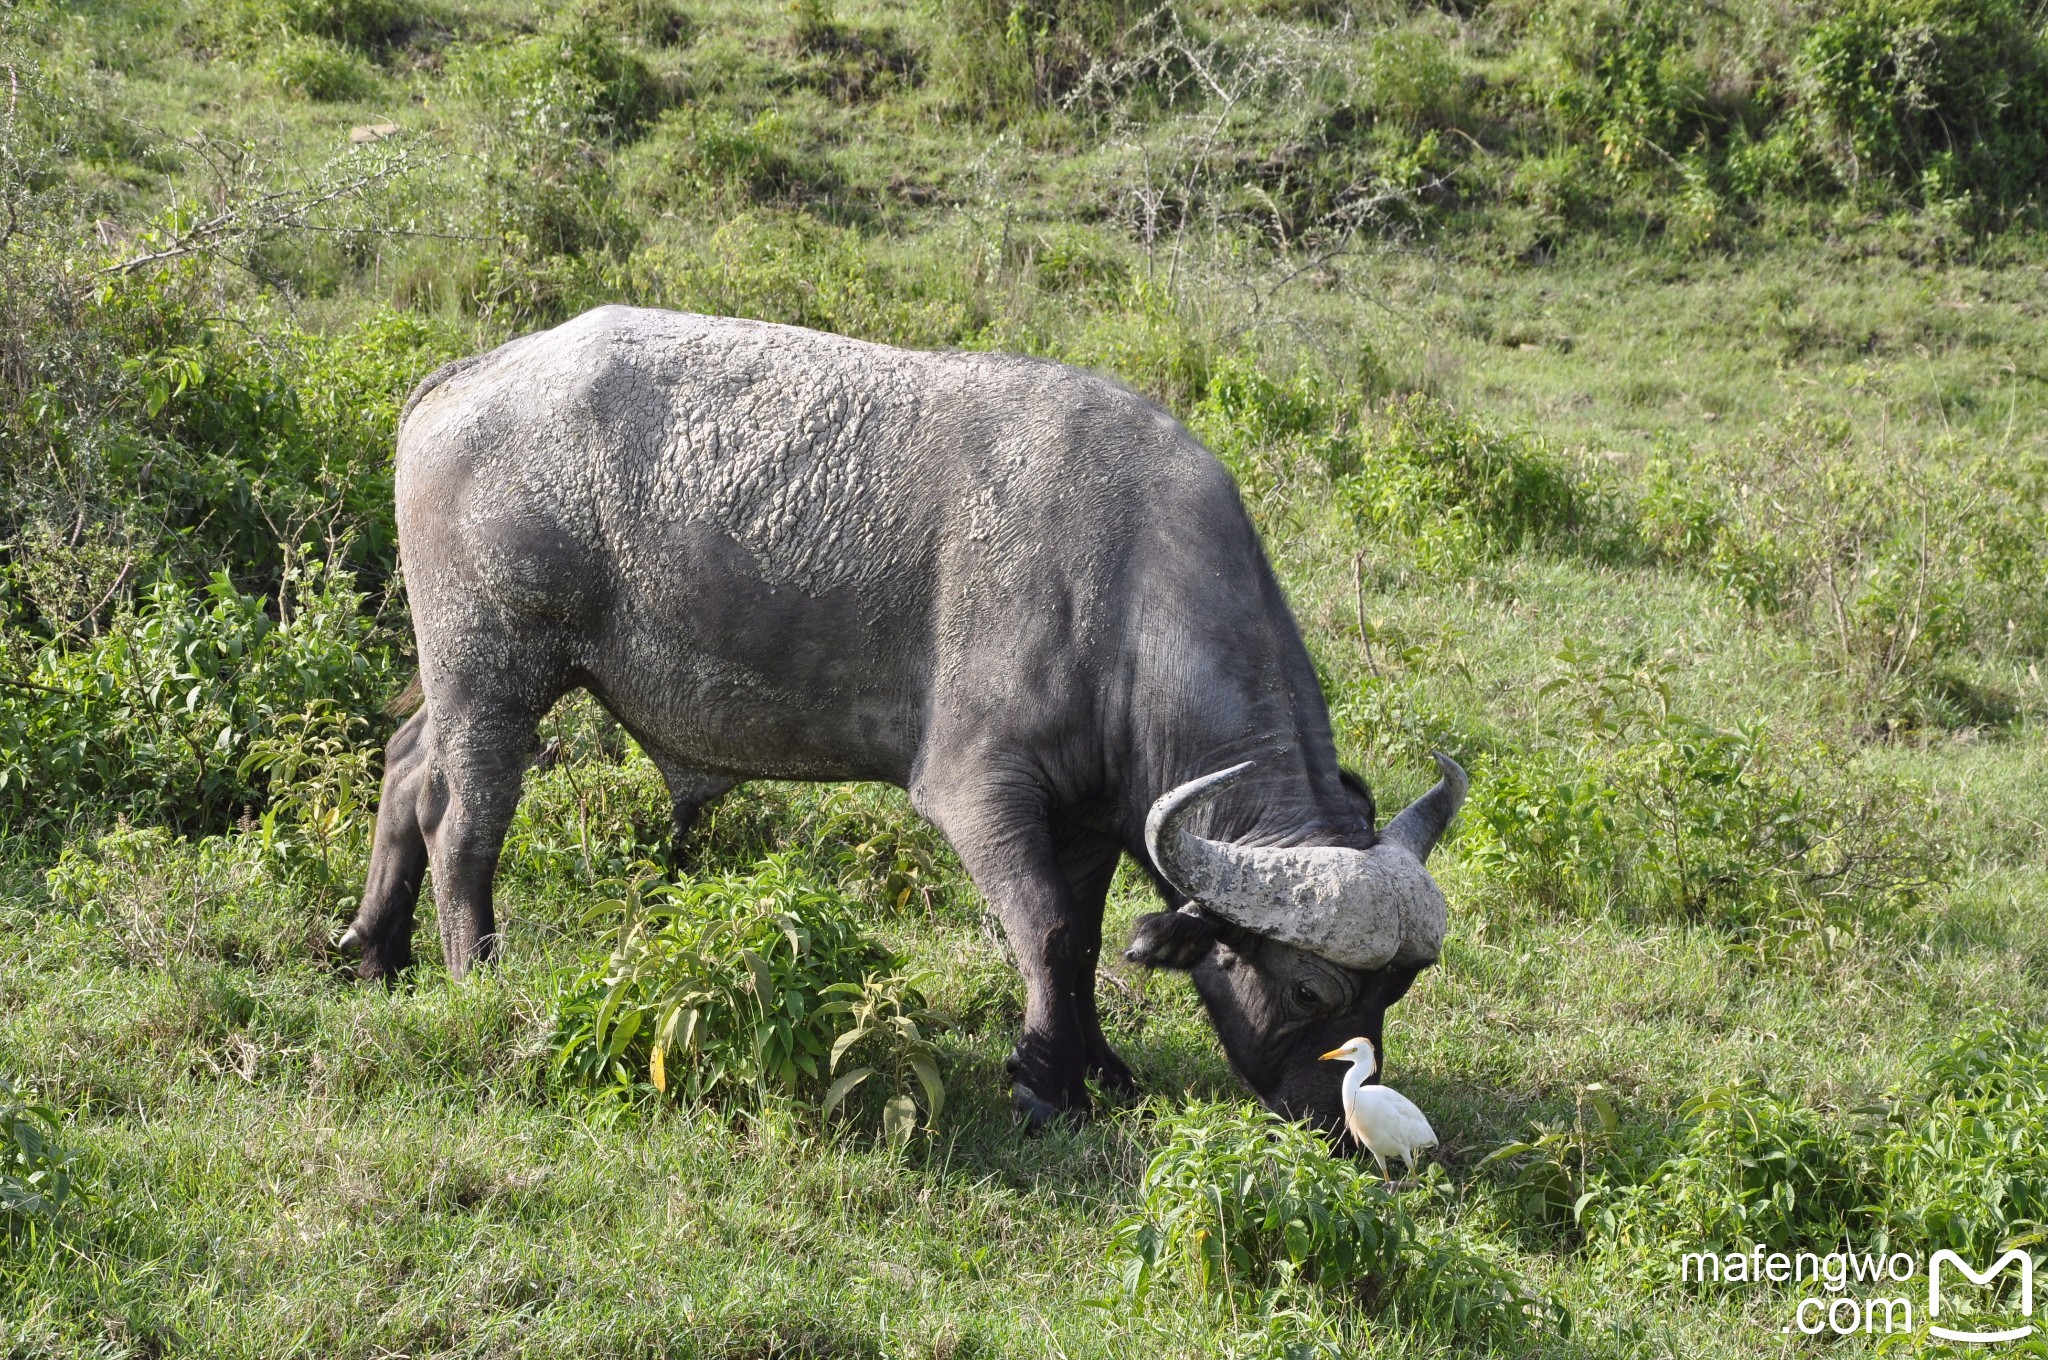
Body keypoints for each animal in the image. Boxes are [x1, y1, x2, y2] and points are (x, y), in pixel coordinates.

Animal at [356, 311, 1474, 1138]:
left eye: (1394, 994)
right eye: (1308, 992)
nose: (1341, 1121)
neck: (1123, 597)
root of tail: (461, 379)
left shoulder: (1087, 818)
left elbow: (1082, 938)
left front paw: (1100, 1067)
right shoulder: (978, 794)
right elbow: (1045, 929)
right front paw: (1044, 1081)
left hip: (459, 681)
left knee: (408, 767)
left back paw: (373, 949)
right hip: (495, 672)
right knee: (467, 823)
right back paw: (475, 972)